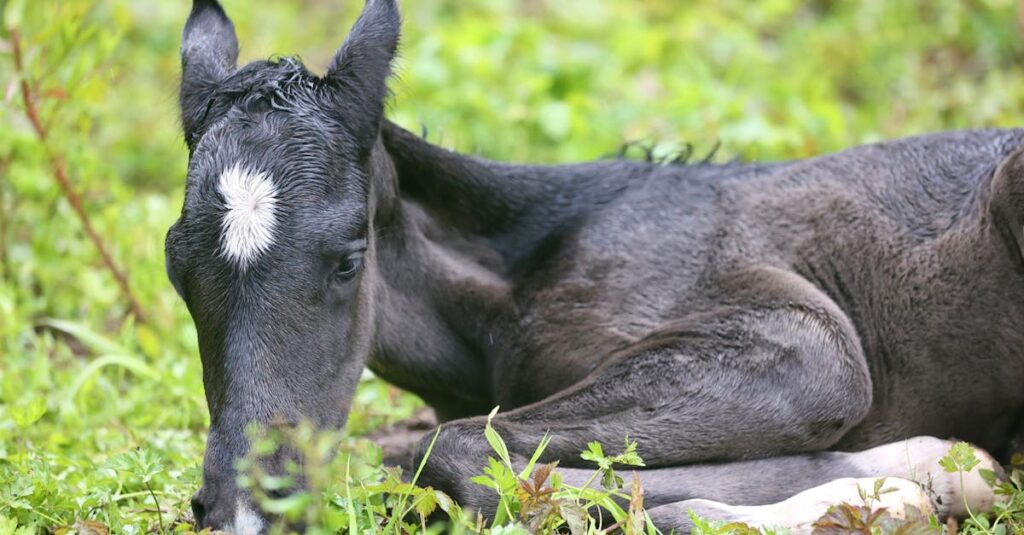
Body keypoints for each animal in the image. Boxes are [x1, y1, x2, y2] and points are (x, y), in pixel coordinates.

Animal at [166, 0, 1024, 532]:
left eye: (348, 258)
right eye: (177, 269)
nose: (243, 509)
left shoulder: (803, 342)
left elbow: (453, 449)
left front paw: (911, 477)